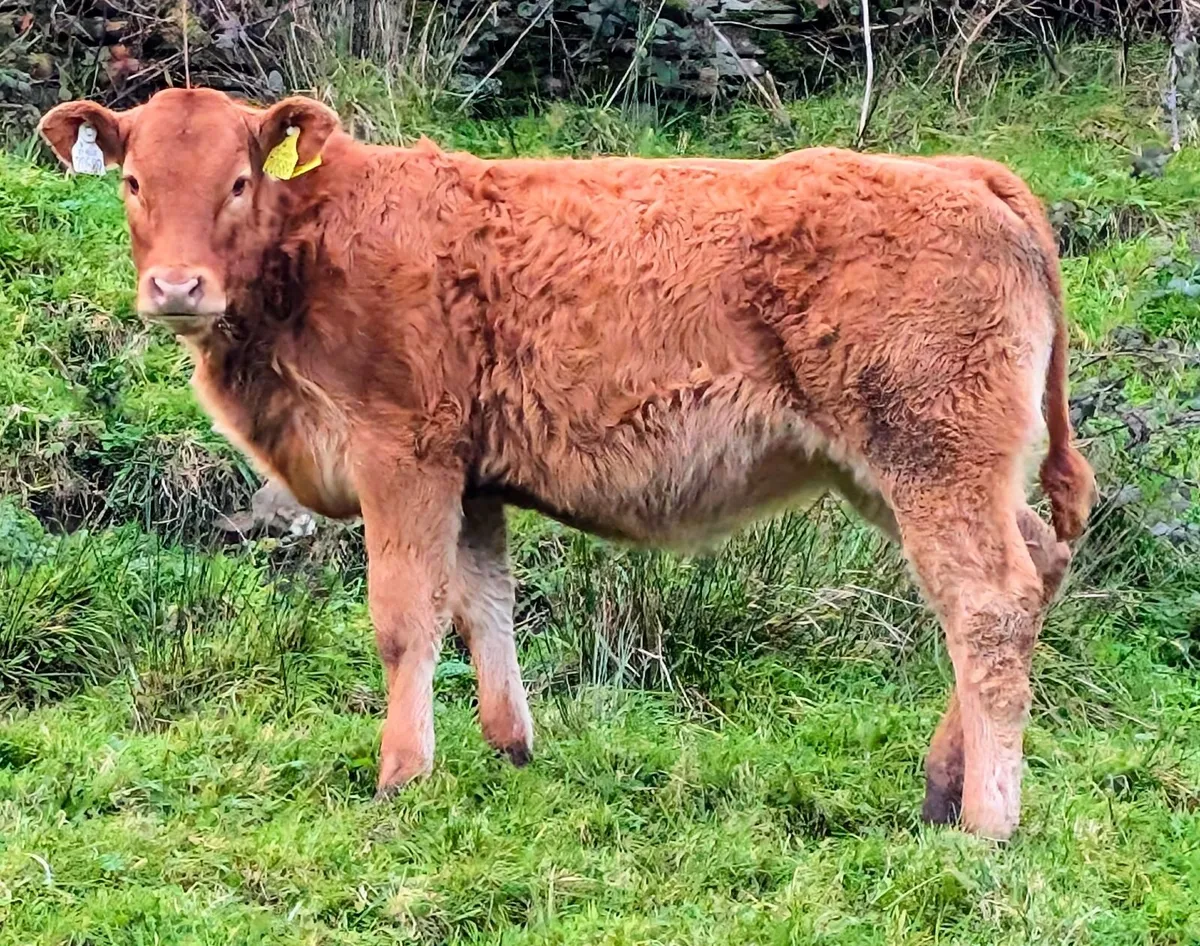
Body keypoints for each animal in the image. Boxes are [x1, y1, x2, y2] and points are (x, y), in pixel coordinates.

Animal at [39, 87, 1095, 839]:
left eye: (237, 181)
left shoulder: (403, 453)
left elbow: (404, 617)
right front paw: (511, 751)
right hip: (911, 469)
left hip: (931, 454)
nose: (177, 286)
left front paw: (400, 776)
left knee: (987, 603)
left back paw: (988, 822)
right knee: (1032, 566)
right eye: (133, 183)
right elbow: (484, 606)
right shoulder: (471, 477)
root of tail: (960, 173)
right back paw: (943, 787)